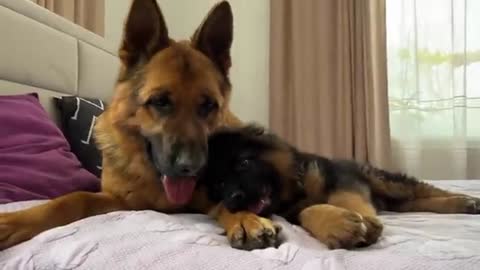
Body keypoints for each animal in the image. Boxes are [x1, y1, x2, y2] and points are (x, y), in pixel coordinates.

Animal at [0, 0, 278, 251]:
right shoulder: (120, 201)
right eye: (160, 101)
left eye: (208, 105)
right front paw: (16, 220)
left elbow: (226, 202)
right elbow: (74, 198)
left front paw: (245, 218)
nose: (193, 168)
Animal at [202, 125, 480, 250]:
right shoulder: (291, 211)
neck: (294, 188)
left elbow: (345, 197)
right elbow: (308, 211)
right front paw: (336, 225)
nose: (232, 199)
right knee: (414, 202)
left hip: (384, 181)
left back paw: (464, 200)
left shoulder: (342, 177)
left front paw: (363, 220)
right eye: (219, 184)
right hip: (394, 198)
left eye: (243, 163)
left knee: (423, 191)